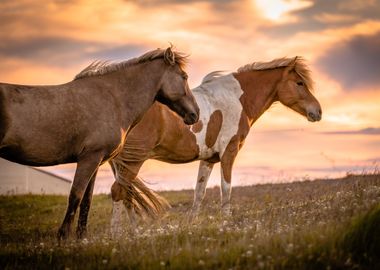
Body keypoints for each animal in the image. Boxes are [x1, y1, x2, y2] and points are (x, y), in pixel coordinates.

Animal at [0, 46, 200, 238]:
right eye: (184, 77)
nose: (195, 114)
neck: (113, 99)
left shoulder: (95, 161)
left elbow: (86, 200)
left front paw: (82, 237)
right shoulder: (89, 158)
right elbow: (76, 195)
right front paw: (63, 236)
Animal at [111, 56, 322, 234]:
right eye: (300, 83)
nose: (318, 111)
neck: (239, 99)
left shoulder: (209, 159)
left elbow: (199, 193)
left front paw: (190, 225)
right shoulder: (229, 152)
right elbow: (226, 189)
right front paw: (226, 224)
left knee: (127, 194)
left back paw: (135, 233)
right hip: (134, 160)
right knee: (119, 192)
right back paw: (117, 236)